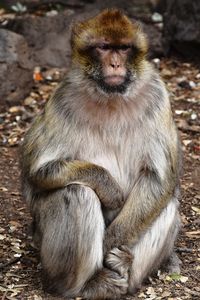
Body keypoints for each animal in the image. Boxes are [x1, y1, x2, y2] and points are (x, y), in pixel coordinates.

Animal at [21, 8, 181, 298]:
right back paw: (86, 285)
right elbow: (38, 170)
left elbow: (157, 178)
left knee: (166, 203)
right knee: (77, 193)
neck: (111, 97)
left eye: (124, 48)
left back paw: (126, 266)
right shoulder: (63, 98)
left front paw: (111, 243)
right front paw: (108, 187)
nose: (116, 64)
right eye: (104, 47)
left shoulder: (158, 95)